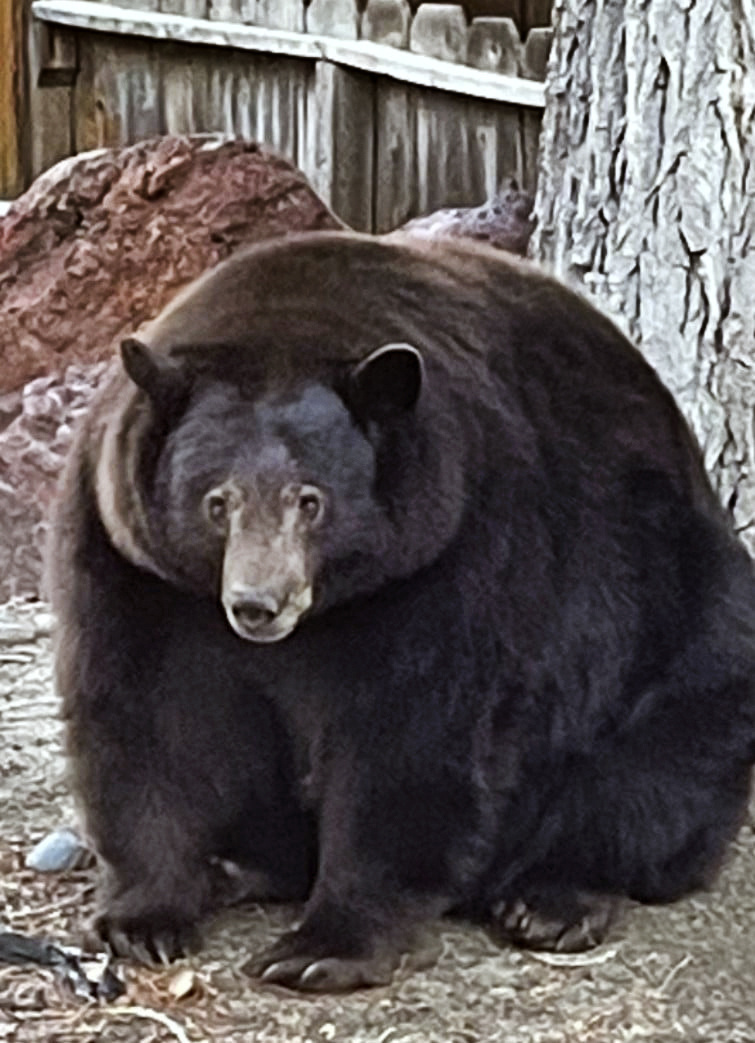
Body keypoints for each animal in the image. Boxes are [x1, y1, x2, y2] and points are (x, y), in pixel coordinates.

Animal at [47, 232, 755, 988]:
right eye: (217, 501)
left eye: (311, 499)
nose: (257, 605)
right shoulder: (132, 561)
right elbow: (149, 714)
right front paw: (145, 918)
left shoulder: (455, 549)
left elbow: (410, 734)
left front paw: (321, 947)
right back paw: (238, 866)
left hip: (678, 615)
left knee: (657, 766)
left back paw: (552, 899)